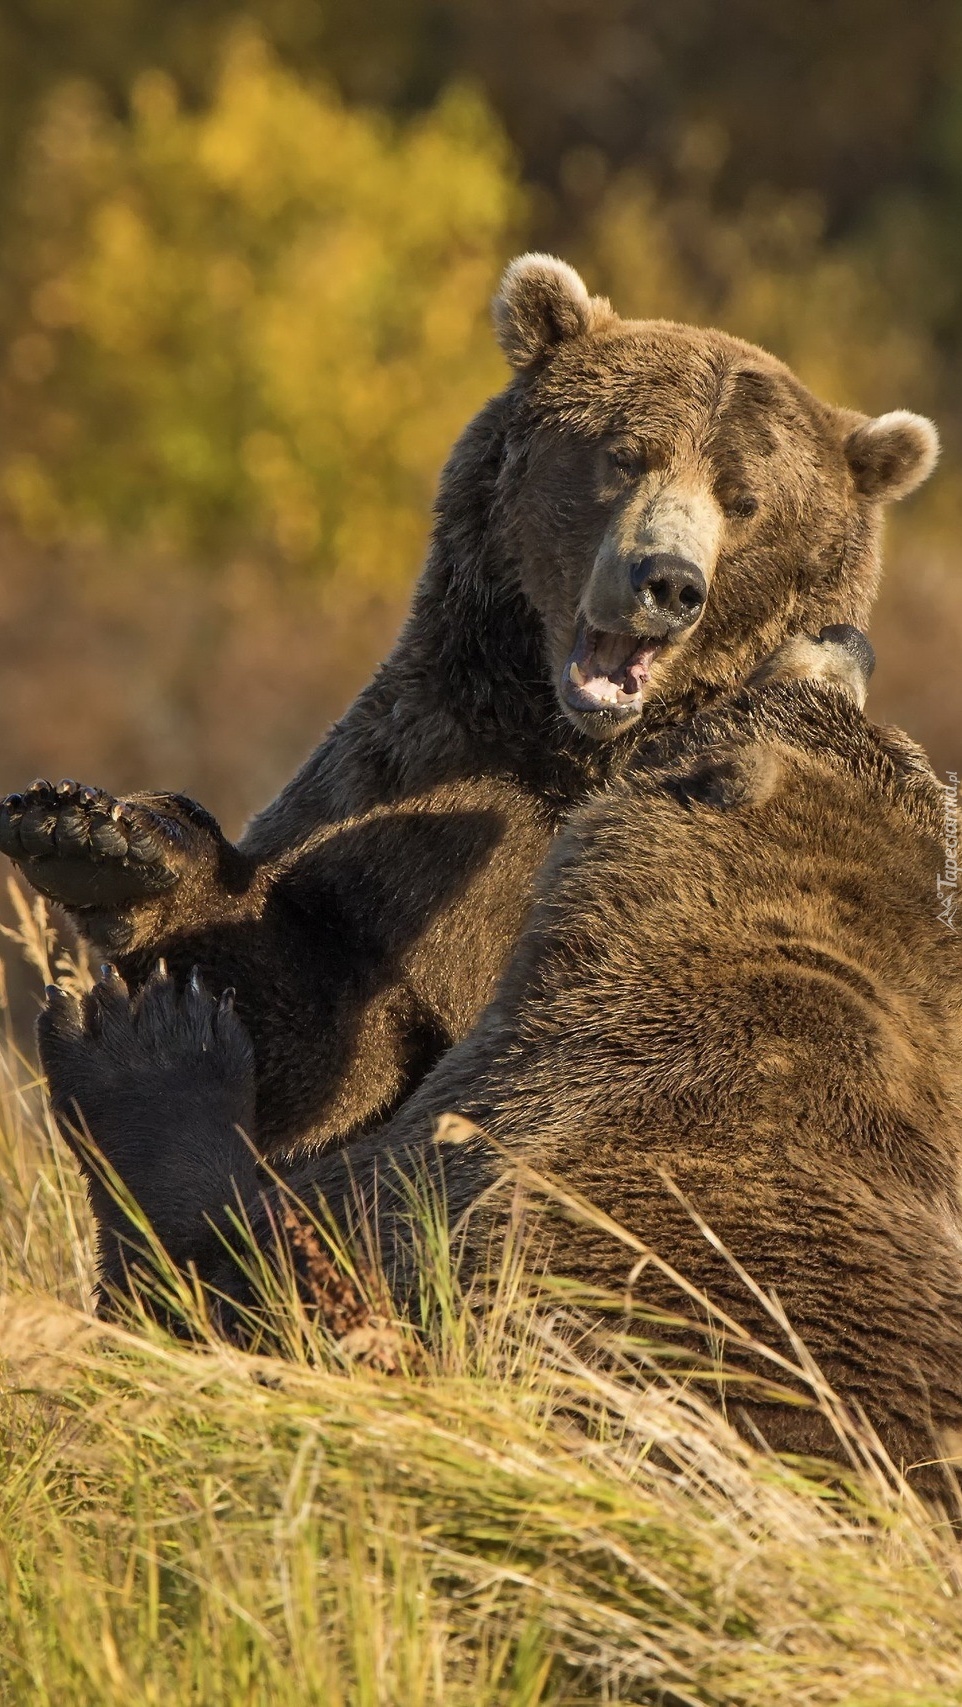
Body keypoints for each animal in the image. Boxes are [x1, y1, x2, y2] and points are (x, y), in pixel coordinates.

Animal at [3, 256, 941, 1160]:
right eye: (623, 455)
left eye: (745, 499)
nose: (667, 581)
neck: (571, 749)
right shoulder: (415, 791)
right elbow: (321, 1023)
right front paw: (96, 838)